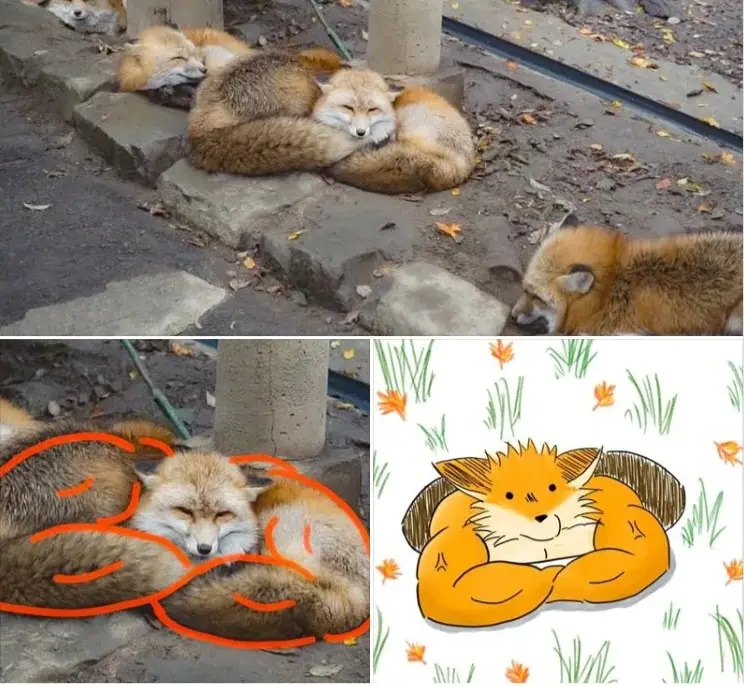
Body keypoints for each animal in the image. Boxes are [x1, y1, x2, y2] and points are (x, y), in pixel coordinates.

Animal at [417, 440, 670, 627]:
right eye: (509, 495)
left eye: (552, 488)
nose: (540, 517)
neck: (544, 549)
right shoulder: (455, 538)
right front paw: (550, 576)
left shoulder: (621, 512)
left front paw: (558, 576)